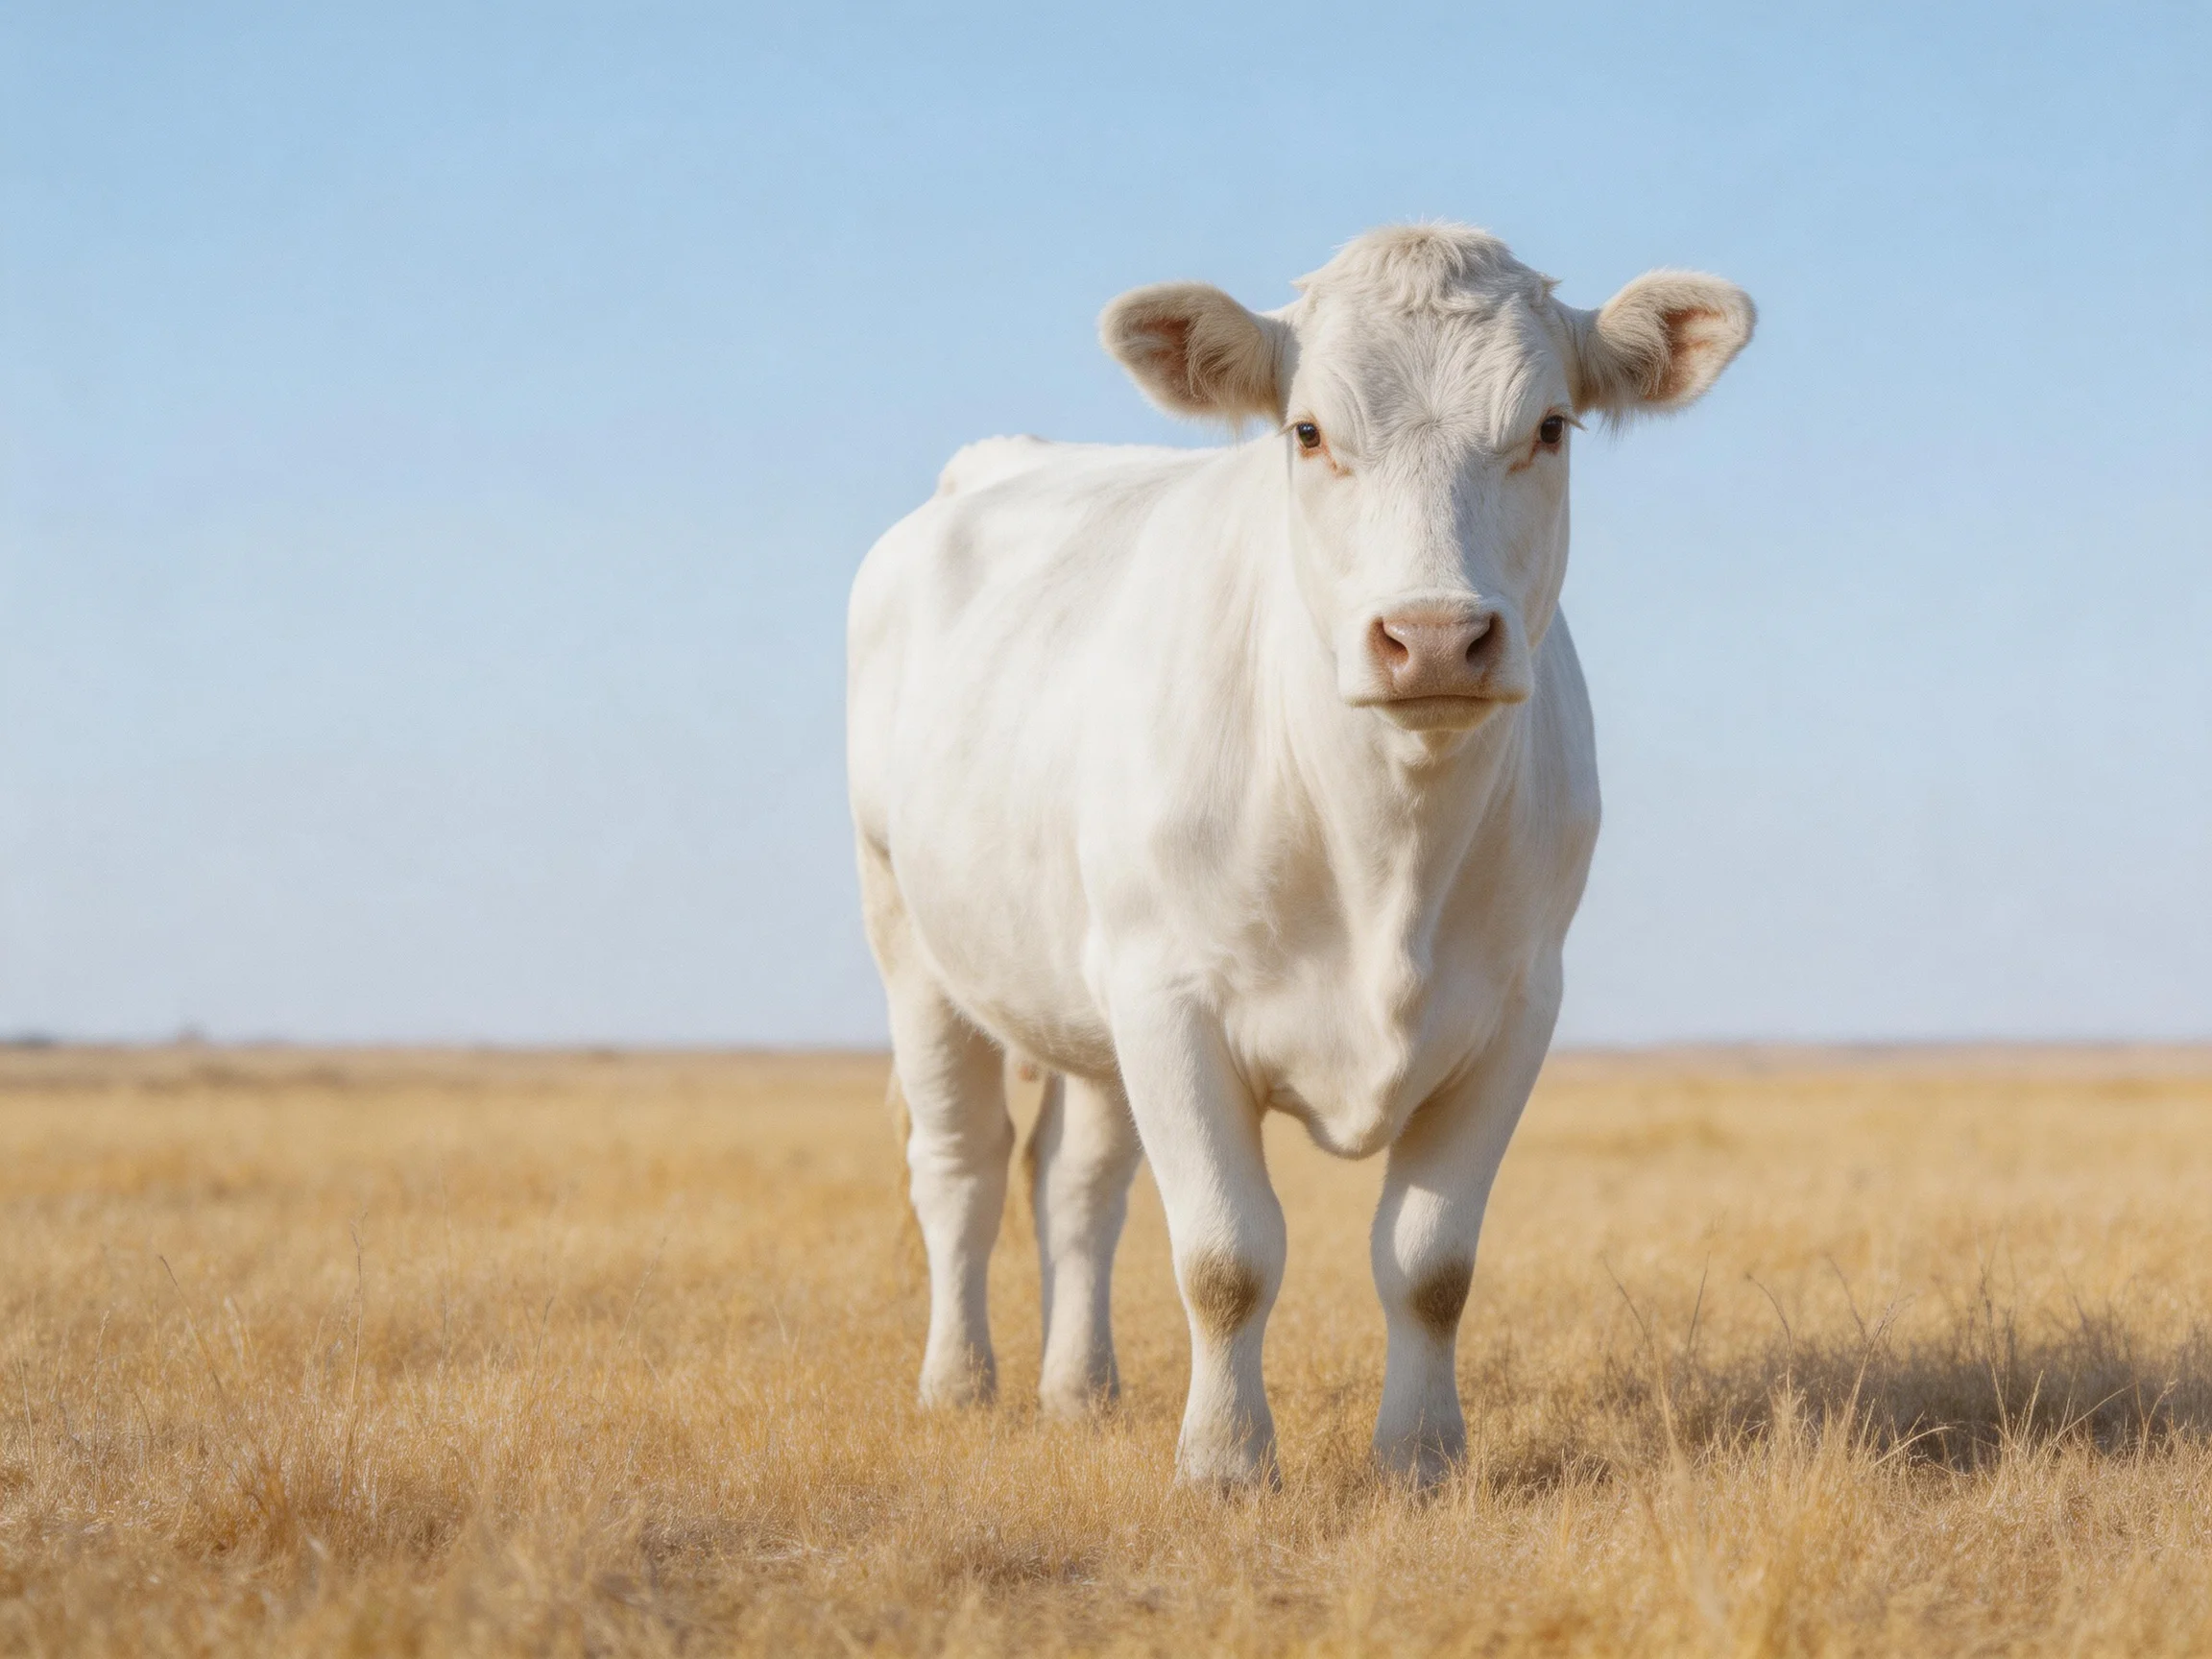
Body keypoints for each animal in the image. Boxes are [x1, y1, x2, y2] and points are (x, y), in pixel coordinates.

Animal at [847, 223, 1753, 1488]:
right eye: (1310, 431)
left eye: (1550, 428)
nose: (1434, 637)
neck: (1386, 852)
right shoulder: (1170, 999)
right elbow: (1226, 1255)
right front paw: (1227, 1463)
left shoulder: (1516, 1009)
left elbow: (1431, 1261)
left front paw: (1420, 1459)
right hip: (912, 941)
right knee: (961, 1169)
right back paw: (959, 1383)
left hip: (1086, 991)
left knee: (1076, 1186)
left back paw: (1078, 1388)